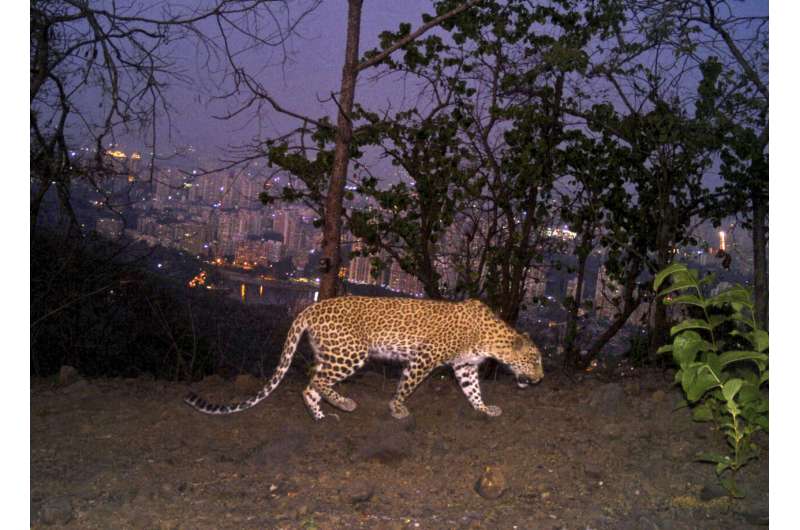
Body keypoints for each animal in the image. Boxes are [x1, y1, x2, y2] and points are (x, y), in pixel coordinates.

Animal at [184, 294, 544, 418]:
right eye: (535, 360)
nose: (540, 379)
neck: (491, 339)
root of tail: (310, 308)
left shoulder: (466, 366)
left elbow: (472, 390)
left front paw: (484, 408)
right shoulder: (424, 358)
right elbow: (407, 385)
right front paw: (397, 408)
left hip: (332, 352)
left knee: (310, 384)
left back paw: (322, 416)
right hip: (351, 352)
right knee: (315, 378)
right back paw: (344, 403)